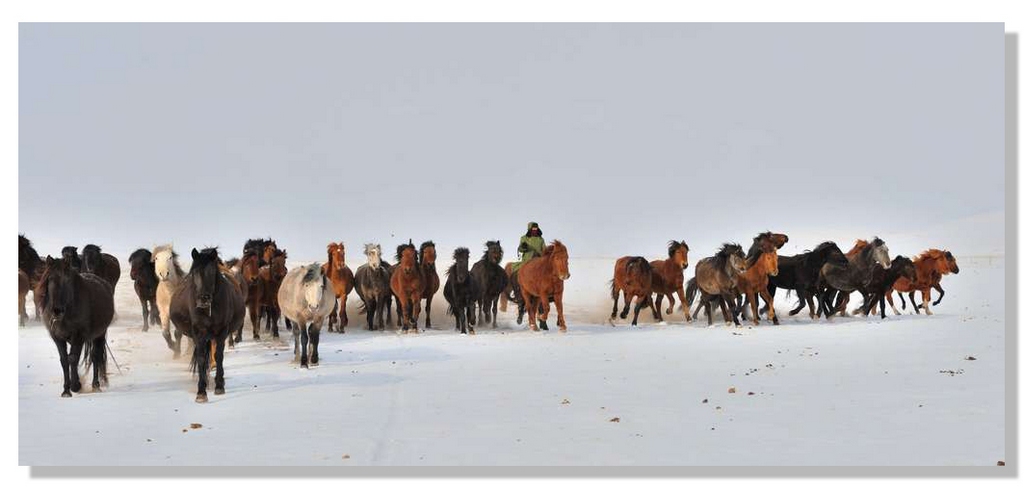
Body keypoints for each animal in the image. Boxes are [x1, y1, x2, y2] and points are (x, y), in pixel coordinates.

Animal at [36, 255, 114, 396]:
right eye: (50, 279)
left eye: (67, 279)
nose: (57, 310)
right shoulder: (57, 337)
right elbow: (64, 360)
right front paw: (66, 390)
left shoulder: (78, 336)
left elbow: (72, 359)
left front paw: (75, 386)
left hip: (99, 334)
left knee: (95, 356)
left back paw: (96, 385)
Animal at [171, 246, 246, 403]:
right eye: (194, 272)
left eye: (212, 272)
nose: (203, 299)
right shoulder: (199, 333)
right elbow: (200, 358)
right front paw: (201, 391)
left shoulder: (222, 332)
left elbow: (218, 356)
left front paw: (219, 386)